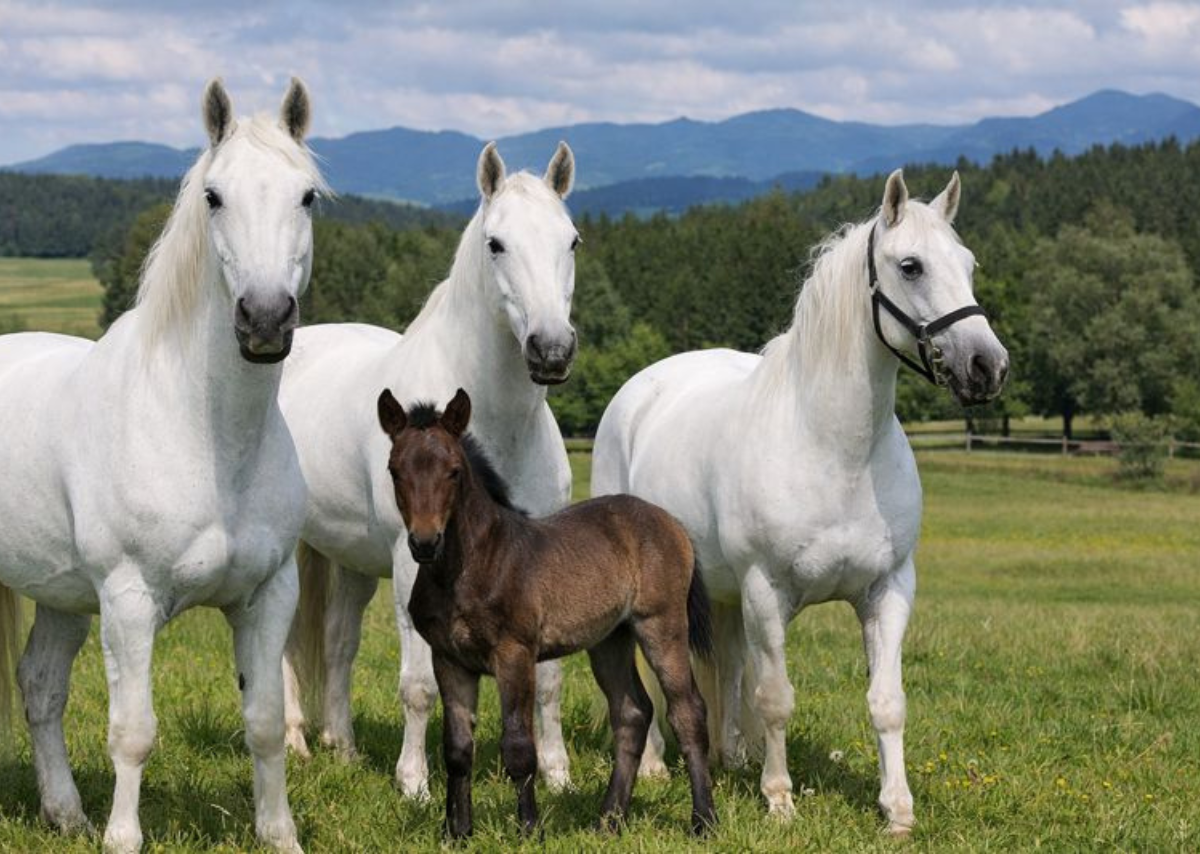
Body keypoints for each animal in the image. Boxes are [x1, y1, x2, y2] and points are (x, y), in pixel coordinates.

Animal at [0, 79, 321, 853]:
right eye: (213, 196)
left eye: (306, 196)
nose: (265, 320)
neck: (209, 438)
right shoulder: (128, 600)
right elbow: (134, 732)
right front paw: (122, 839)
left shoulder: (269, 595)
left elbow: (266, 724)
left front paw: (280, 834)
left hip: (60, 595)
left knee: (40, 686)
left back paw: (65, 812)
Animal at [279, 142, 577, 796]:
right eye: (496, 244)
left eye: (572, 240)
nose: (551, 350)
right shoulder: (409, 559)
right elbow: (418, 686)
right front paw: (414, 783)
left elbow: (547, 682)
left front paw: (558, 775)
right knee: (282, 645)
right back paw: (294, 742)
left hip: (351, 560)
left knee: (337, 644)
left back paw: (343, 748)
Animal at [377, 387, 716, 837]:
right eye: (395, 470)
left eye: (453, 471)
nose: (425, 543)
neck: (468, 568)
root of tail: (671, 522)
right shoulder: (449, 659)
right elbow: (457, 749)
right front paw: (457, 832)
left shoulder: (515, 654)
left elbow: (520, 746)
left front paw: (528, 828)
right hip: (610, 639)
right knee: (631, 713)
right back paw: (608, 820)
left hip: (661, 625)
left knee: (687, 711)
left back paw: (704, 820)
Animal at [591, 170, 1009, 834]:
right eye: (911, 266)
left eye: (967, 264)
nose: (986, 366)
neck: (835, 452)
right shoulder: (767, 591)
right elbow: (776, 698)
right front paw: (780, 799)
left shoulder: (889, 589)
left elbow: (886, 702)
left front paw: (897, 811)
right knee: (658, 680)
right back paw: (658, 766)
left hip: (722, 591)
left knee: (728, 663)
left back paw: (731, 754)